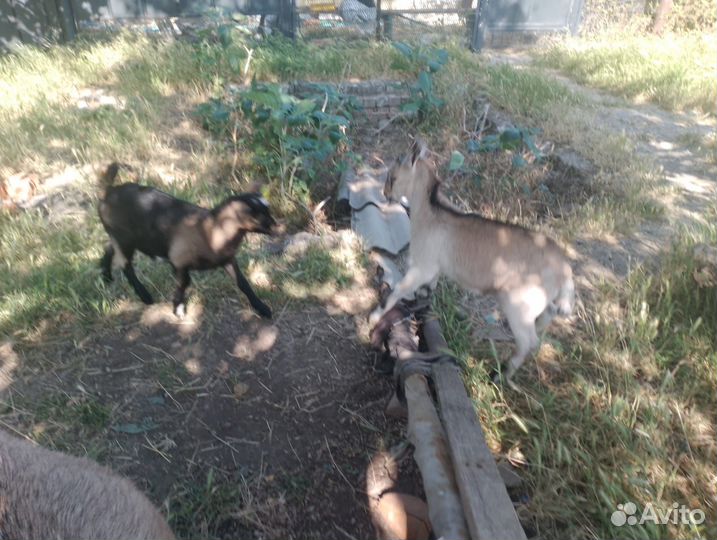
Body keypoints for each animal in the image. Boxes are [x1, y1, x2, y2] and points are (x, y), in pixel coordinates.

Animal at [98, 163, 277, 318]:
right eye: (260, 215)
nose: (276, 225)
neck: (210, 230)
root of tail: (109, 191)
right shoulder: (179, 260)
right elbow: (185, 282)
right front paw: (178, 308)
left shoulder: (227, 259)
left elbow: (243, 283)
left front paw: (262, 308)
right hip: (124, 238)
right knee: (125, 264)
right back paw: (145, 296)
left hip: (120, 236)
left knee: (109, 248)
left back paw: (106, 276)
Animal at [368, 140, 575, 383]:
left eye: (392, 177)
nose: (385, 194)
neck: (431, 211)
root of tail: (564, 266)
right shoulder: (433, 268)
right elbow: (428, 287)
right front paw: (423, 302)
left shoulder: (422, 265)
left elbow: (399, 288)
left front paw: (375, 315)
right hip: (538, 302)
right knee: (546, 318)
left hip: (518, 304)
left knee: (528, 341)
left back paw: (501, 375)